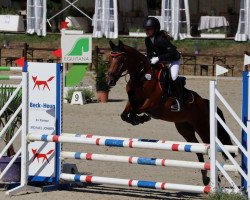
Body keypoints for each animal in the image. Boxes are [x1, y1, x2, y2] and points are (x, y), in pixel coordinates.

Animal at [106, 39, 235, 185]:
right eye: (110, 58)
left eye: (121, 59)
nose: (110, 81)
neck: (142, 76)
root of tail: (204, 102)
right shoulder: (132, 102)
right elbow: (125, 114)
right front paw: (137, 119)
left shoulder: (151, 103)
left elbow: (135, 111)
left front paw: (141, 118)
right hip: (185, 129)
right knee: (197, 149)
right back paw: (205, 178)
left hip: (202, 127)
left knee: (209, 147)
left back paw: (216, 178)